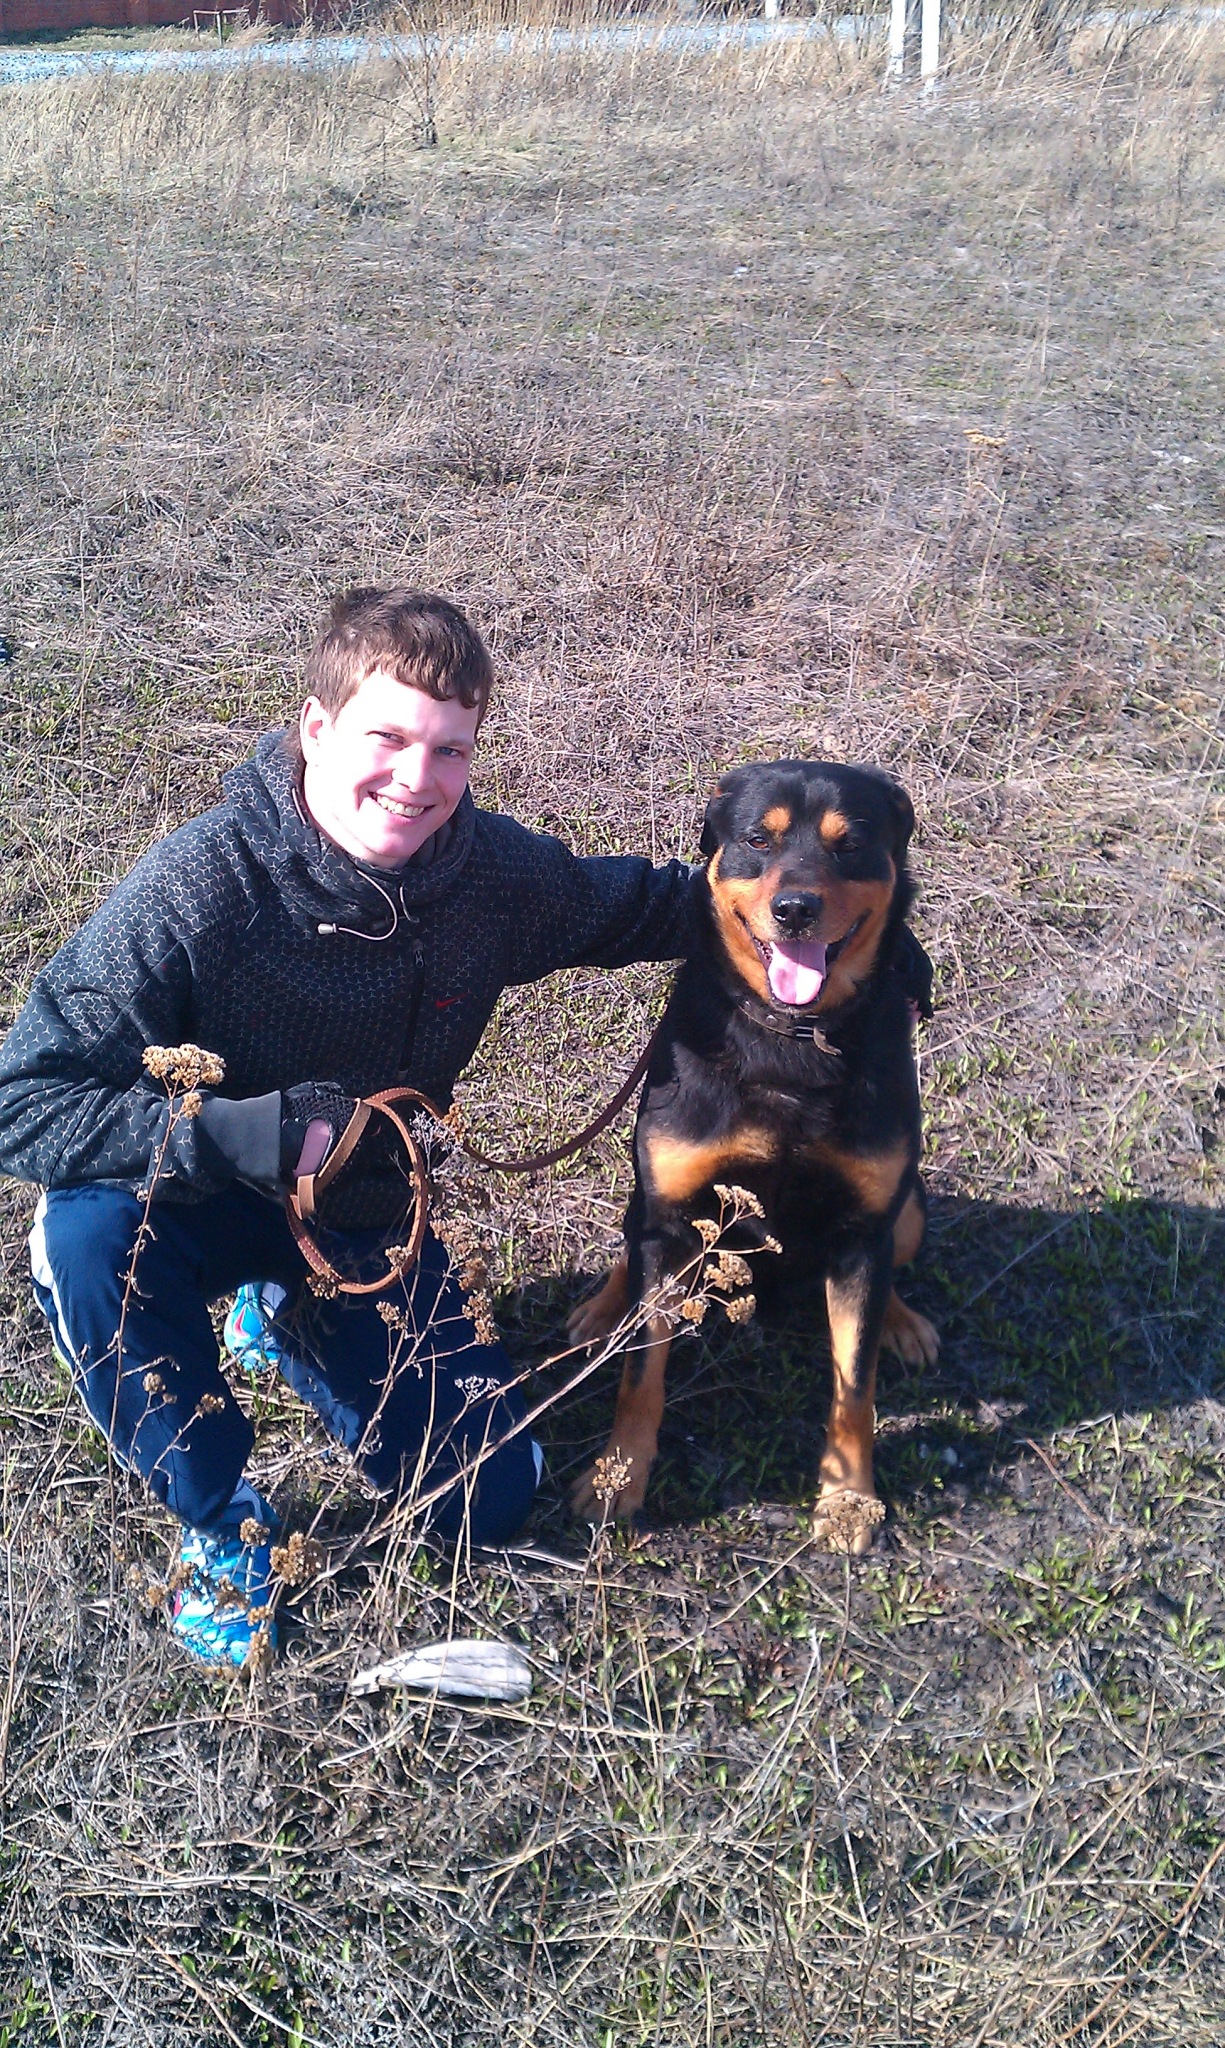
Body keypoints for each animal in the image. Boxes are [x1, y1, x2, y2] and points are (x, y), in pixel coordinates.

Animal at [568, 759, 939, 1552]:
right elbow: (640, 1376)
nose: (796, 909)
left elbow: (854, 1384)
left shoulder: (862, 1225)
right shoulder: (672, 1205)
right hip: (647, 1200)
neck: (791, 1038)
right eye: (755, 841)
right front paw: (618, 1479)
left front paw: (848, 1499)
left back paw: (900, 1319)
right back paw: (602, 1307)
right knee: (632, 1254)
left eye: (851, 843)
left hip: (911, 1208)